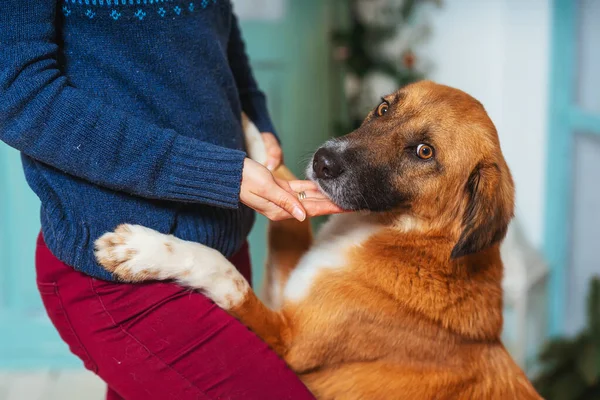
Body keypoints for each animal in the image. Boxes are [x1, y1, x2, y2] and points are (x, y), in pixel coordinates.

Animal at [96, 79, 540, 398]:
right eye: (384, 108)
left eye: (424, 152)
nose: (324, 162)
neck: (405, 238)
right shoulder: (287, 284)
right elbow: (285, 196)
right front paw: (252, 125)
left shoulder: (288, 341)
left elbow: (223, 271)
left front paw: (144, 250)